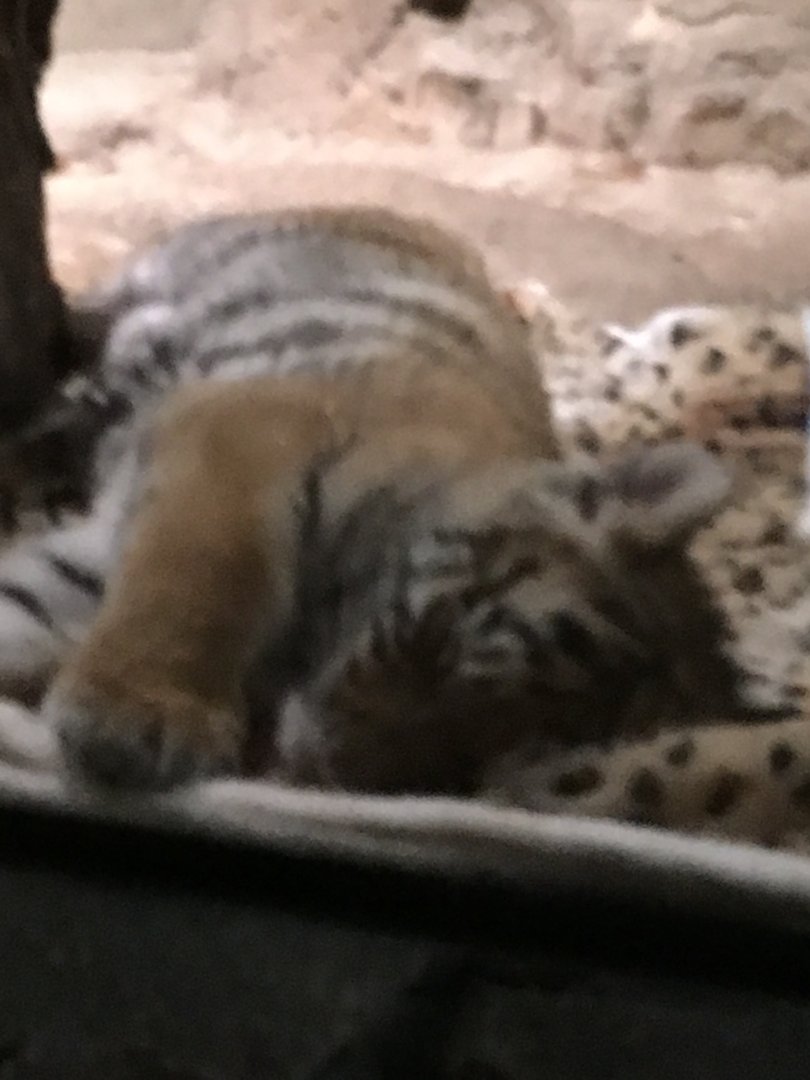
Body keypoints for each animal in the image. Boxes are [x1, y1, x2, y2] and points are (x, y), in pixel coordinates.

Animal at [0, 206, 767, 796]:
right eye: (435, 642)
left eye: (474, 761)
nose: (317, 763)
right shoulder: (249, 428)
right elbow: (201, 570)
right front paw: (136, 717)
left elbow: (30, 602)